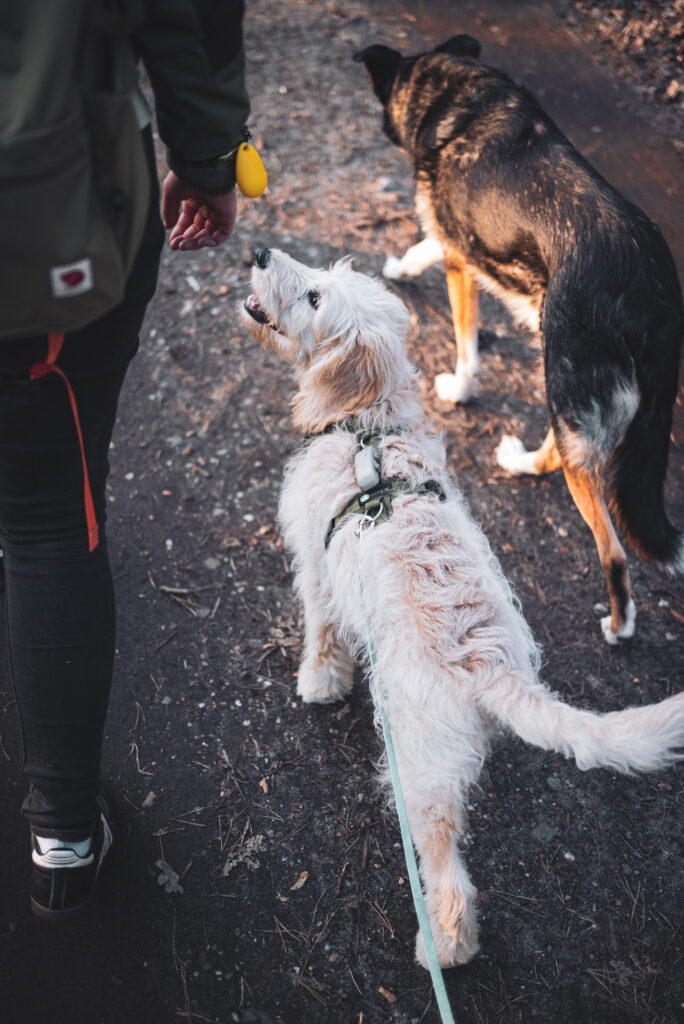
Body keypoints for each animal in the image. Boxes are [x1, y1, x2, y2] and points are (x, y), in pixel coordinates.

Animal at [239, 247, 679, 966]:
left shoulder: (317, 569)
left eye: (313, 297)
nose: (257, 253)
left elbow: (323, 632)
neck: (368, 427)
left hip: (421, 771)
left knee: (448, 874)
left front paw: (320, 683)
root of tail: (488, 664)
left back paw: (443, 946)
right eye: (319, 278)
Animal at [356, 36, 684, 647]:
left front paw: (458, 389)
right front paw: (399, 266)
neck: (461, 96)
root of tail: (654, 300)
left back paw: (619, 623)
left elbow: (465, 345)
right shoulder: (454, 243)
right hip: (567, 383)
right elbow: (422, 247)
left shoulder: (461, 261)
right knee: (565, 453)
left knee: (611, 545)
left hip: (565, 379)